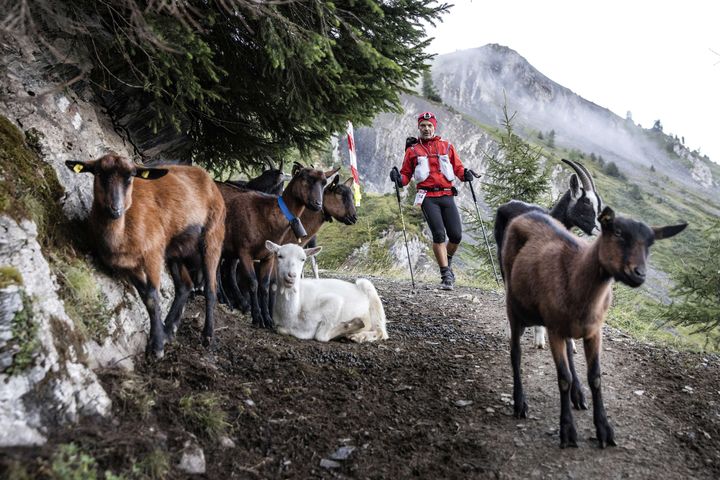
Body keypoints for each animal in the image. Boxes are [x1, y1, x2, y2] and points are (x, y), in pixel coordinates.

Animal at [68, 152, 226, 358]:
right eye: (99, 173)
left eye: (130, 177)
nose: (115, 209)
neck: (122, 234)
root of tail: (209, 179)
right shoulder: (129, 266)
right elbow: (145, 296)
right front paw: (159, 337)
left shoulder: (153, 254)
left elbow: (152, 295)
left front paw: (157, 346)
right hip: (175, 249)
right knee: (184, 286)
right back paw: (169, 330)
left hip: (212, 237)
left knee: (210, 289)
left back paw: (207, 336)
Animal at [219, 167, 338, 328]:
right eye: (305, 178)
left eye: (324, 183)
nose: (318, 204)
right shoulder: (245, 252)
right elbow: (253, 283)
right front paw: (257, 318)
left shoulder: (269, 256)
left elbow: (265, 285)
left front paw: (268, 319)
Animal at [500, 207, 688, 450]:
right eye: (617, 232)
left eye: (650, 243)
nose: (639, 274)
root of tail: (527, 213)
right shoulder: (554, 330)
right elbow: (564, 378)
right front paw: (568, 431)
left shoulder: (594, 332)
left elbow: (595, 377)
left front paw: (604, 430)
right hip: (513, 305)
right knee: (516, 352)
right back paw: (520, 402)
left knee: (569, 352)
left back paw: (578, 396)